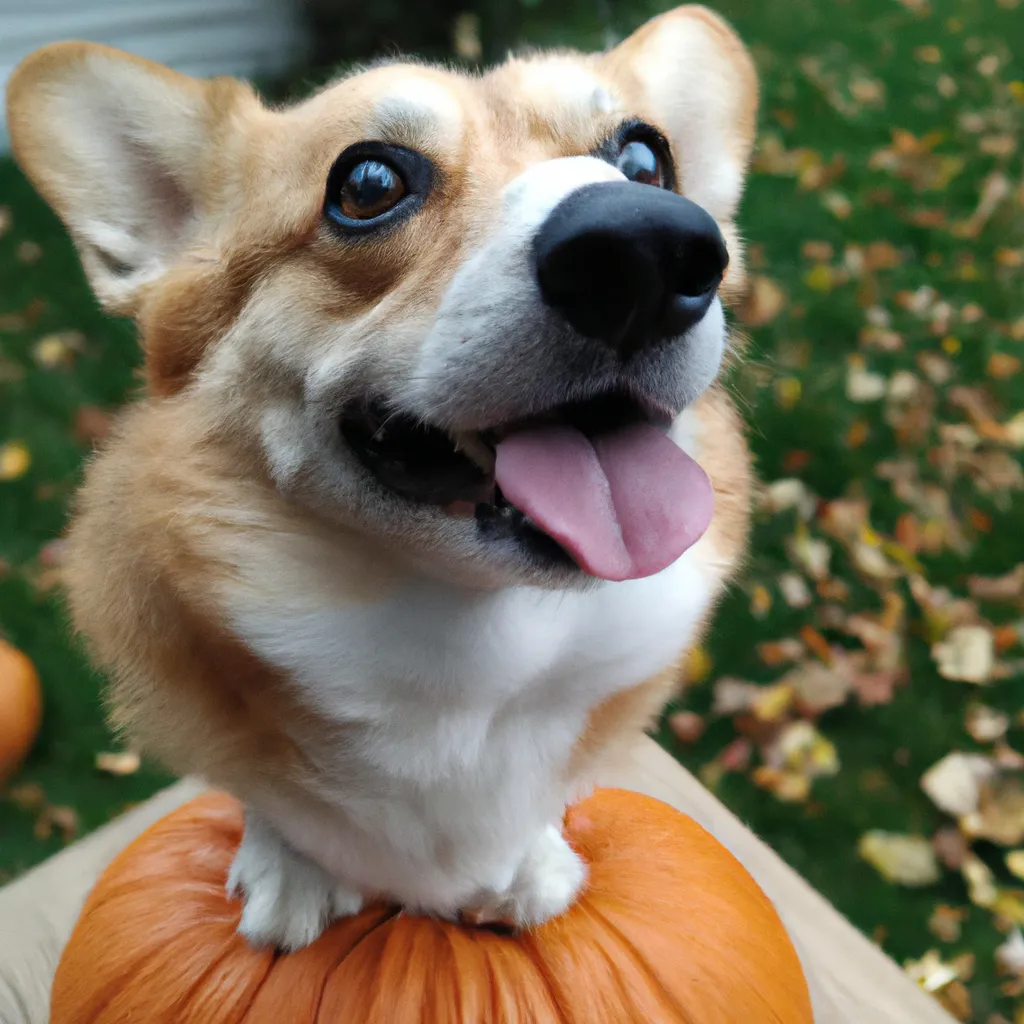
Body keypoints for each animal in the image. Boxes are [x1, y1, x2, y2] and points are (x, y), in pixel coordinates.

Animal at [9, 6, 761, 950]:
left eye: (645, 159)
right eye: (367, 184)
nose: (650, 246)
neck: (477, 649)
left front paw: (522, 866)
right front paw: (292, 868)